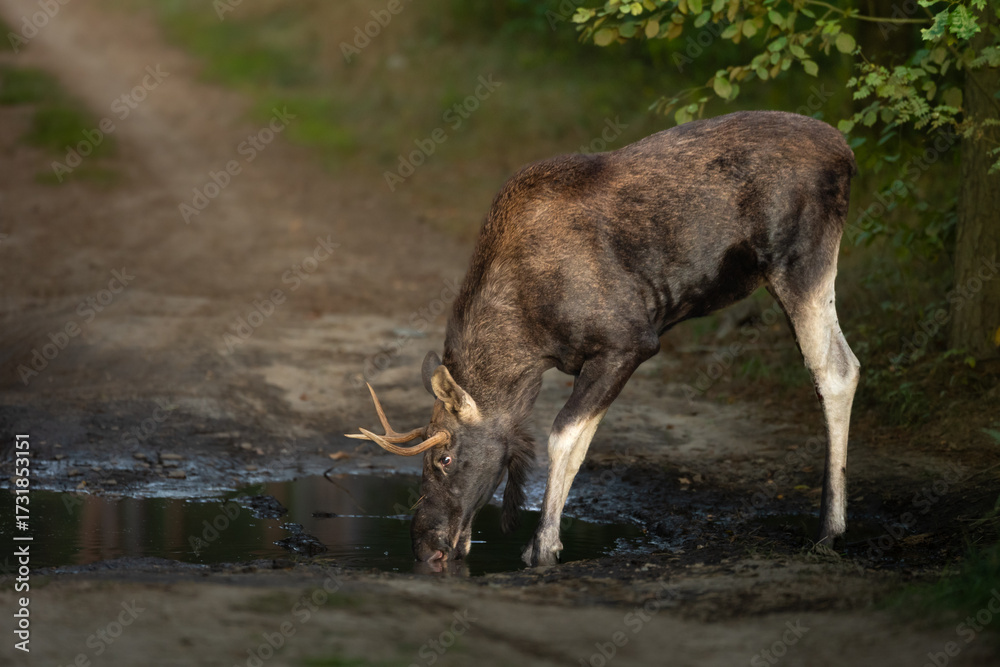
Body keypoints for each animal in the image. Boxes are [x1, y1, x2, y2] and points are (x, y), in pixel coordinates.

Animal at [348, 110, 861, 567]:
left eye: (446, 458)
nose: (425, 547)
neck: (527, 341)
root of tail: (846, 153)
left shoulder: (627, 342)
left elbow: (564, 437)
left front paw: (542, 549)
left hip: (800, 261)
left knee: (836, 369)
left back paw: (828, 531)